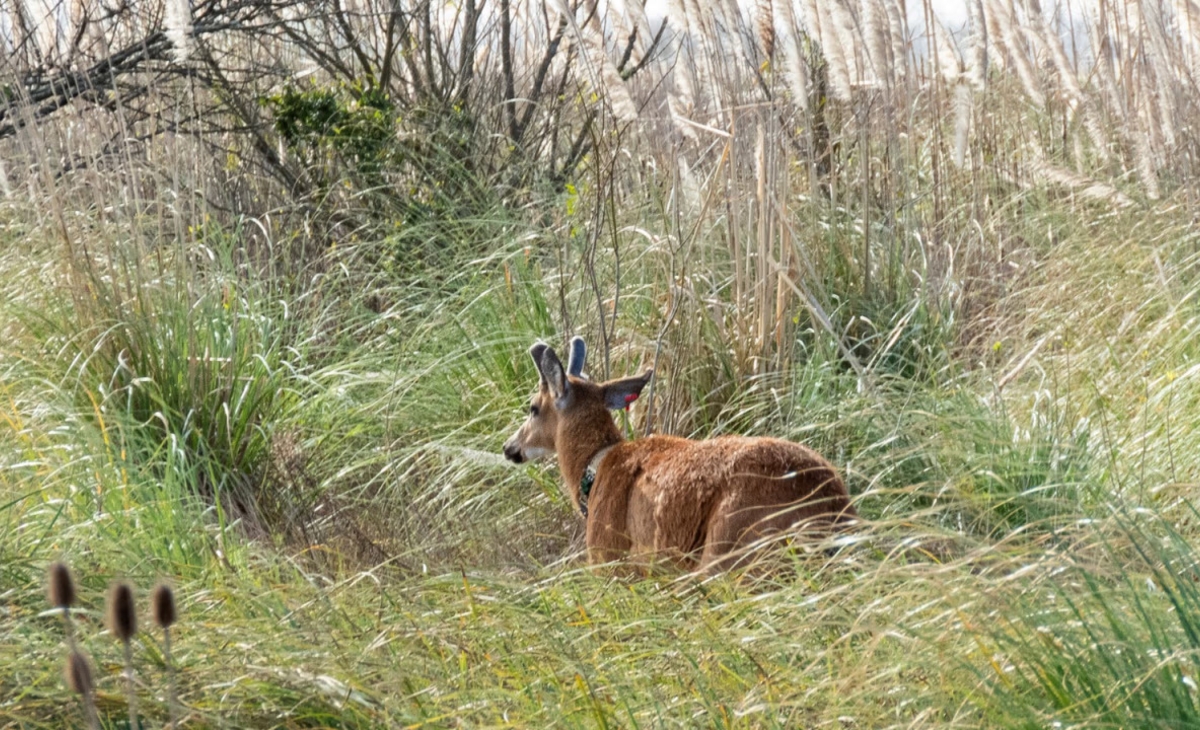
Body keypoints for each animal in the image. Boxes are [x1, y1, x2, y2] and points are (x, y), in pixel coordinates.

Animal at [503, 337, 858, 572]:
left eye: (533, 407)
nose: (510, 447)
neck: (596, 469)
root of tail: (830, 509)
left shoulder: (609, 557)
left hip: (730, 548)